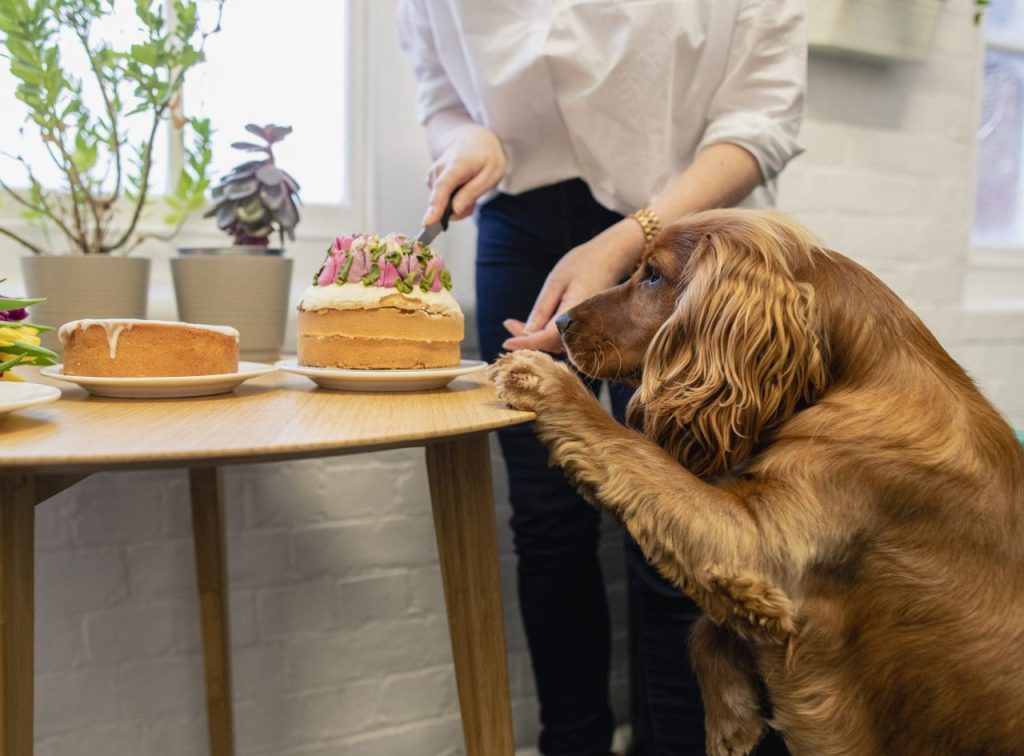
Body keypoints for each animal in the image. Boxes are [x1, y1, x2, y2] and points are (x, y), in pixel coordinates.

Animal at [485, 207, 1024, 753]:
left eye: (653, 275)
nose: (560, 322)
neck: (846, 376)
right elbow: (704, 633)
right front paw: (732, 718)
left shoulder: (760, 548)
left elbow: (627, 447)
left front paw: (541, 378)